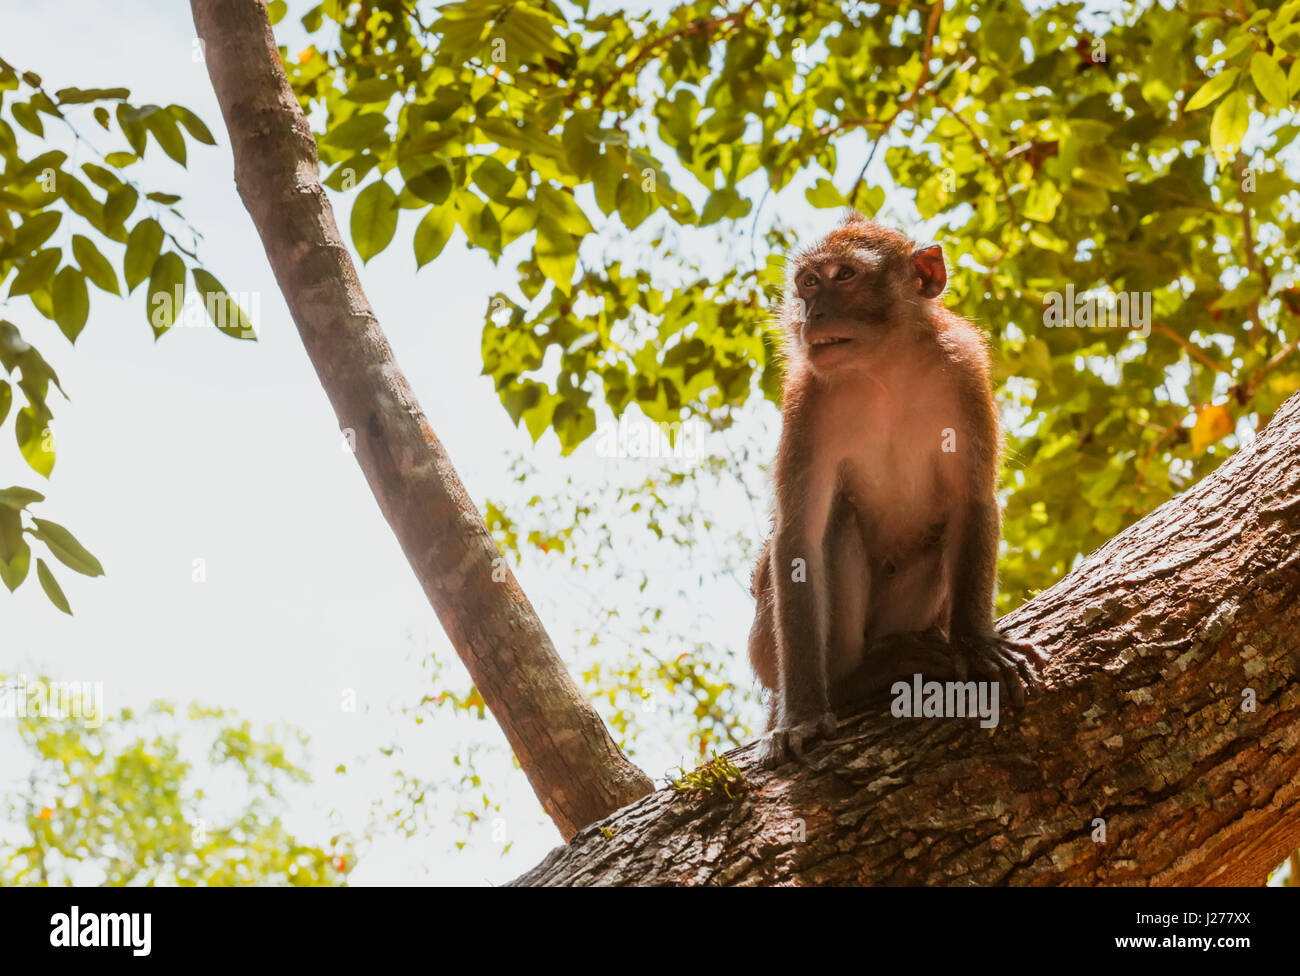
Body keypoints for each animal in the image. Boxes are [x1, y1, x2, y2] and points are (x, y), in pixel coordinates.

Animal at [754, 213, 1045, 769]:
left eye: (844, 276)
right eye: (808, 282)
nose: (812, 313)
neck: (883, 369)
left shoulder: (963, 367)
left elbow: (971, 501)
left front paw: (975, 643)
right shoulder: (806, 395)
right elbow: (798, 538)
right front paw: (803, 717)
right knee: (835, 520)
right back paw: (854, 680)